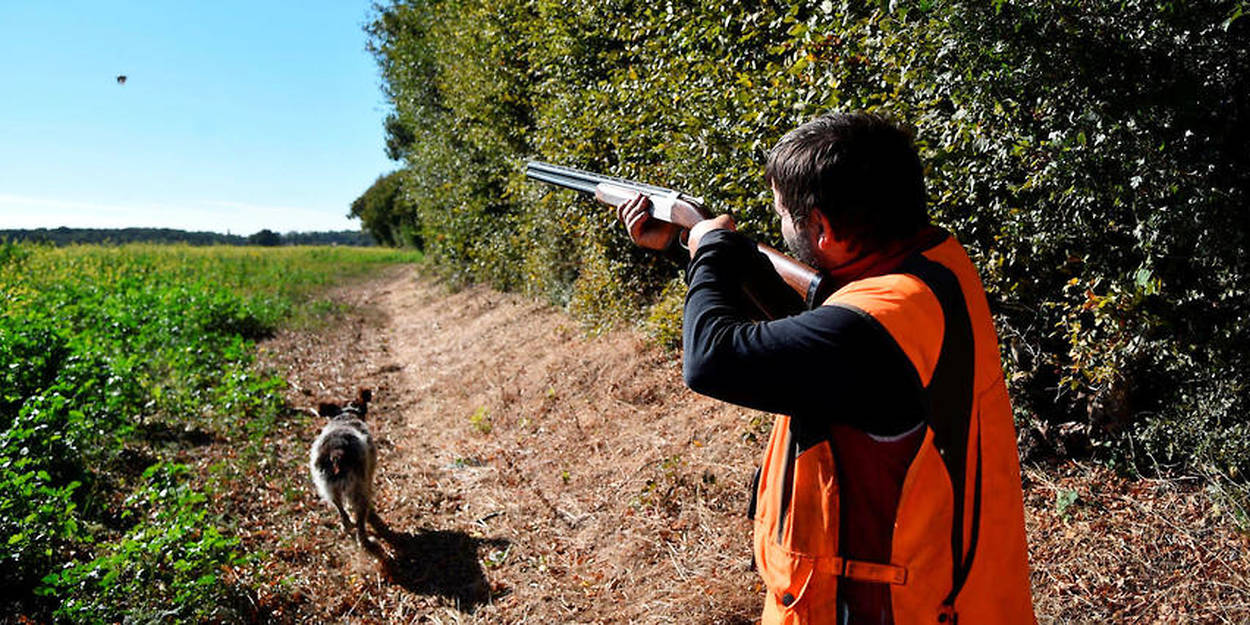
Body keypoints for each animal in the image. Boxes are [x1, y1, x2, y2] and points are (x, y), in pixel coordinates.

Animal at [306, 387, 380, 550]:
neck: (347, 415)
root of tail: (336, 452)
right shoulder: (368, 475)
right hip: (358, 488)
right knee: (360, 519)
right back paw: (365, 540)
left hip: (329, 488)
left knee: (341, 511)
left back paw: (346, 526)